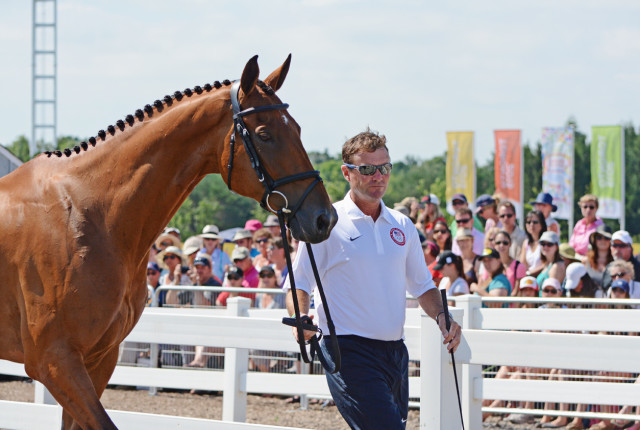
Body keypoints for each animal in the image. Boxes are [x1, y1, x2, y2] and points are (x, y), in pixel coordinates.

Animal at [0, 55, 338, 428]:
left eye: (298, 130)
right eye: (264, 134)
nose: (324, 218)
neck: (87, 216)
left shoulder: (98, 358)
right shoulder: (55, 361)